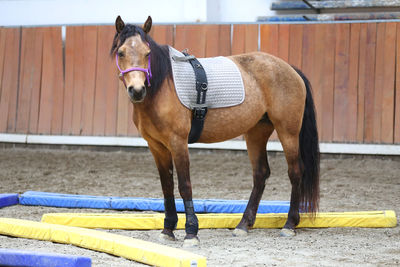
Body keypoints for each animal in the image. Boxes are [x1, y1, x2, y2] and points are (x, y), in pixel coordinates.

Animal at [110, 16, 322, 247]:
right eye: (121, 52)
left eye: (147, 53)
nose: (137, 90)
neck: (162, 86)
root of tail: (290, 69)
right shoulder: (157, 147)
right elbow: (167, 186)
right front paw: (167, 229)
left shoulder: (178, 143)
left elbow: (184, 185)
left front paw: (191, 232)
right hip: (256, 133)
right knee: (261, 174)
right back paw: (243, 225)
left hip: (288, 132)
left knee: (295, 172)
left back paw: (289, 225)